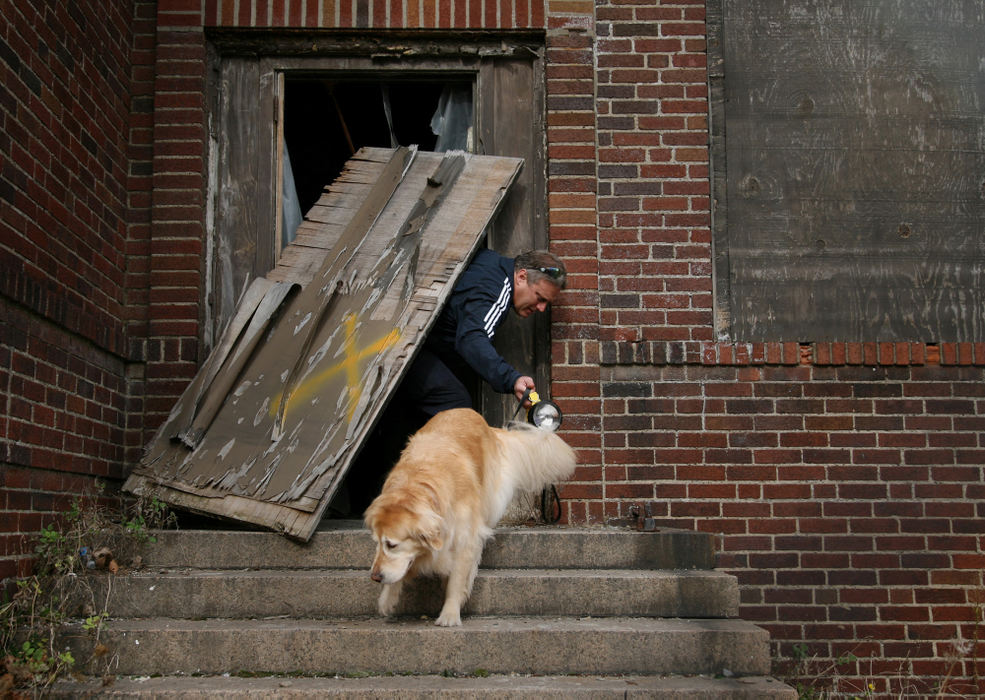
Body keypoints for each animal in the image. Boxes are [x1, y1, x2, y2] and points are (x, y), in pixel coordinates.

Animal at [362, 408, 576, 628]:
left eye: (392, 544)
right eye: (377, 543)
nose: (375, 577)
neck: (418, 486)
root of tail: (469, 411)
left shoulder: (464, 538)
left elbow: (457, 579)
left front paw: (449, 613)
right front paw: (387, 598)